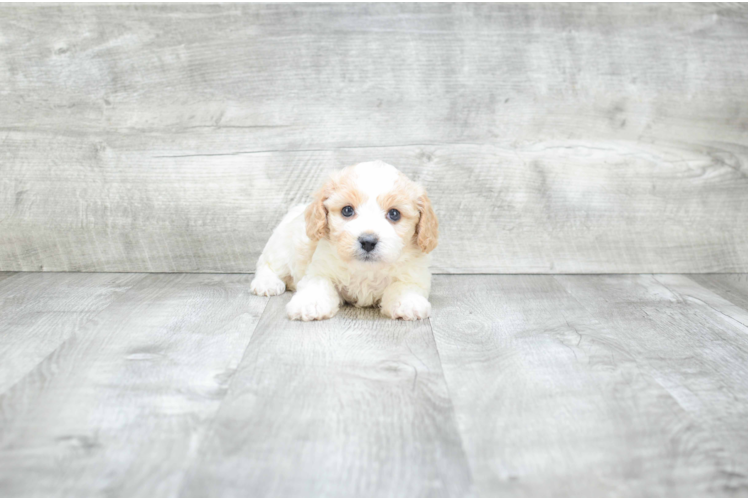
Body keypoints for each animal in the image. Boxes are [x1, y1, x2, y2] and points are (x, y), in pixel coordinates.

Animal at [251, 162, 438, 322]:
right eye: (347, 210)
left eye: (394, 214)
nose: (368, 241)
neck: (366, 270)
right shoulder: (320, 268)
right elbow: (319, 283)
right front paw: (310, 304)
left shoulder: (414, 273)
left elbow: (405, 286)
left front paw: (408, 303)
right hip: (281, 249)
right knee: (267, 265)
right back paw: (267, 283)